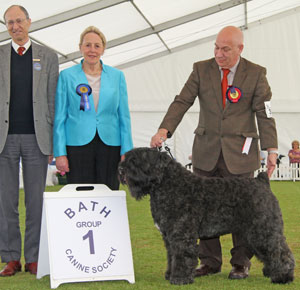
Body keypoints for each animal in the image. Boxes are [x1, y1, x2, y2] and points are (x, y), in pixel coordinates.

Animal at [118, 148, 294, 284]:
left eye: (137, 159)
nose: (120, 169)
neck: (168, 184)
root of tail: (262, 181)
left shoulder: (181, 235)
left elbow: (181, 255)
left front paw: (179, 279)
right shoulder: (169, 236)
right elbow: (172, 256)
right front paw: (170, 275)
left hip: (263, 230)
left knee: (279, 251)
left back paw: (283, 276)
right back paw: (272, 272)